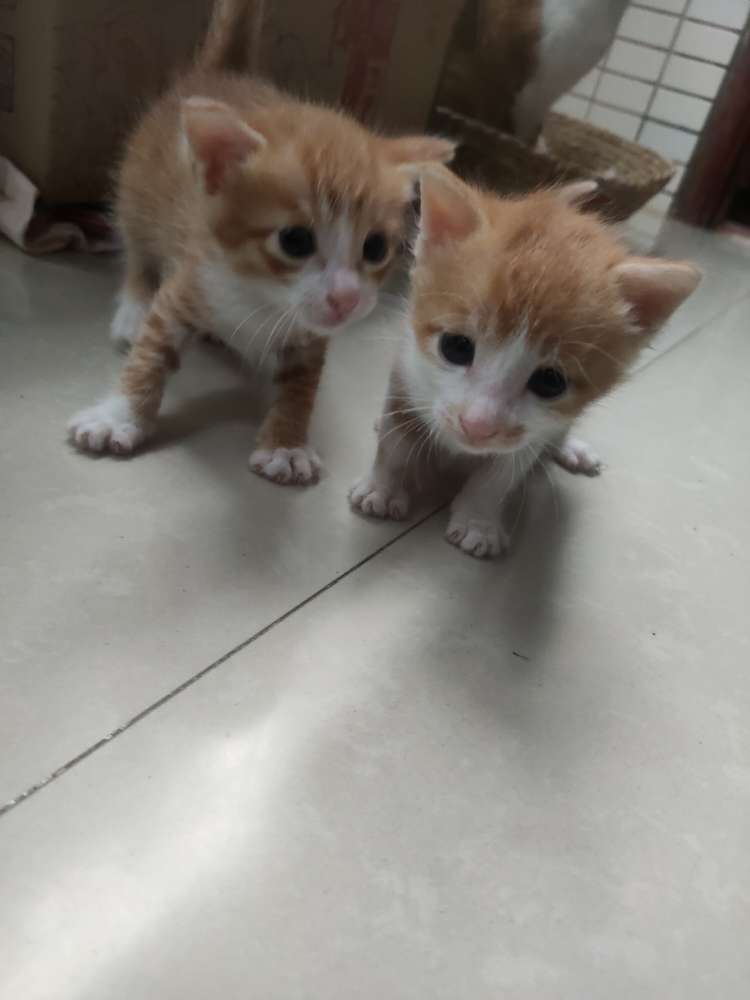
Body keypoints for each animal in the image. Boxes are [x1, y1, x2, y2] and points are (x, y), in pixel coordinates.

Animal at [67, 0, 454, 485]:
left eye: (376, 247)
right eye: (295, 240)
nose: (346, 298)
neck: (262, 296)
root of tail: (220, 73)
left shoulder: (311, 332)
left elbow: (302, 384)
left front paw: (286, 444)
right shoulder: (188, 283)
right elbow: (151, 355)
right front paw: (119, 416)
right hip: (136, 193)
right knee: (136, 250)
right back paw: (134, 306)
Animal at [350, 166, 701, 558]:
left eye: (551, 382)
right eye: (455, 347)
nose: (477, 427)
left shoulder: (535, 428)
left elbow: (502, 473)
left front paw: (478, 521)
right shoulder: (407, 368)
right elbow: (396, 438)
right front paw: (382, 488)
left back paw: (569, 448)